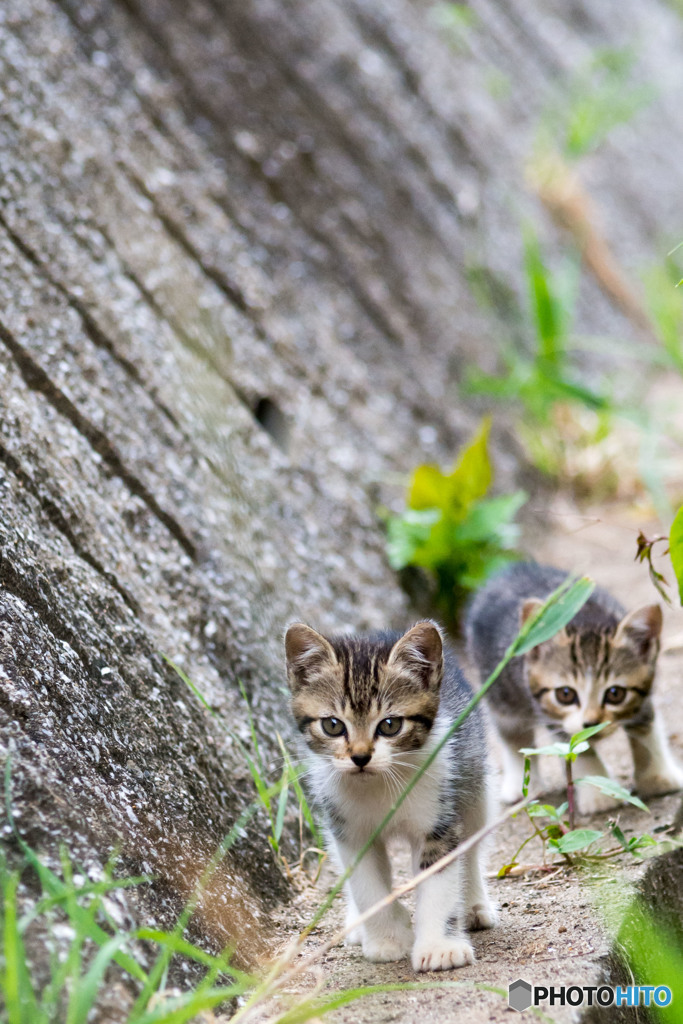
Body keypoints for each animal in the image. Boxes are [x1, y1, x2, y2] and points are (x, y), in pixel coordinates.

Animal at [284, 618, 497, 970]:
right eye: (332, 726)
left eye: (390, 725)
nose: (360, 757)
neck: (379, 785)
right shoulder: (348, 829)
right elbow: (367, 884)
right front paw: (387, 939)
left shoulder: (437, 819)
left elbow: (440, 881)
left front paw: (439, 947)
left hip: (473, 781)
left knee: (472, 846)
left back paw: (473, 907)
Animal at [464, 561, 683, 815]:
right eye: (565, 695)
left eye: (615, 694)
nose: (591, 723)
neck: (585, 620)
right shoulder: (549, 712)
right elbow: (577, 747)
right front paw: (599, 796)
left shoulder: (643, 696)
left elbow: (647, 729)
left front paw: (658, 778)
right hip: (500, 689)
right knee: (513, 735)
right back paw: (520, 784)